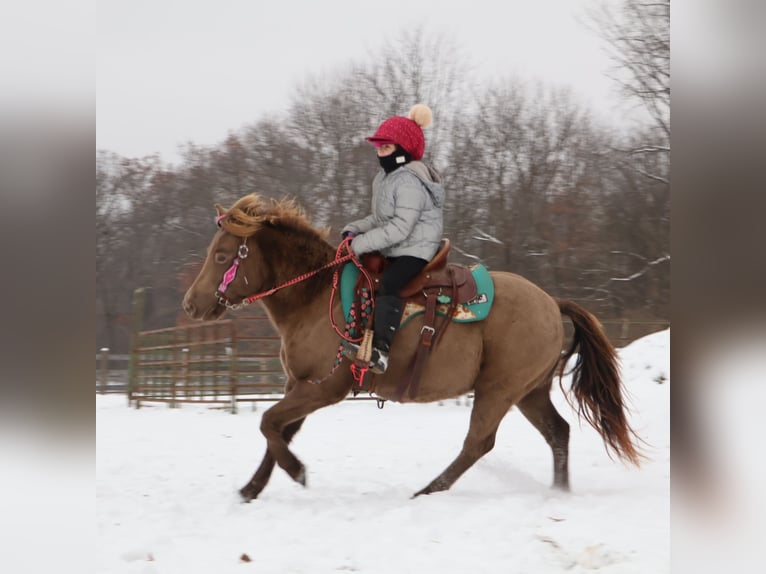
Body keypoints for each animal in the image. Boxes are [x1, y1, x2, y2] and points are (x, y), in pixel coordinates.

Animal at [182, 194, 641, 501]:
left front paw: (297, 473)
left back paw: (427, 492)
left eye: (222, 257)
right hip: (530, 392)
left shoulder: (325, 387)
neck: (315, 295)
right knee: (558, 433)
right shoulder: (298, 385)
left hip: (499, 389)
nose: (191, 304)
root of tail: (551, 302)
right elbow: (277, 431)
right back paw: (558, 492)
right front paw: (250, 489)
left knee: (479, 443)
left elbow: (269, 424)